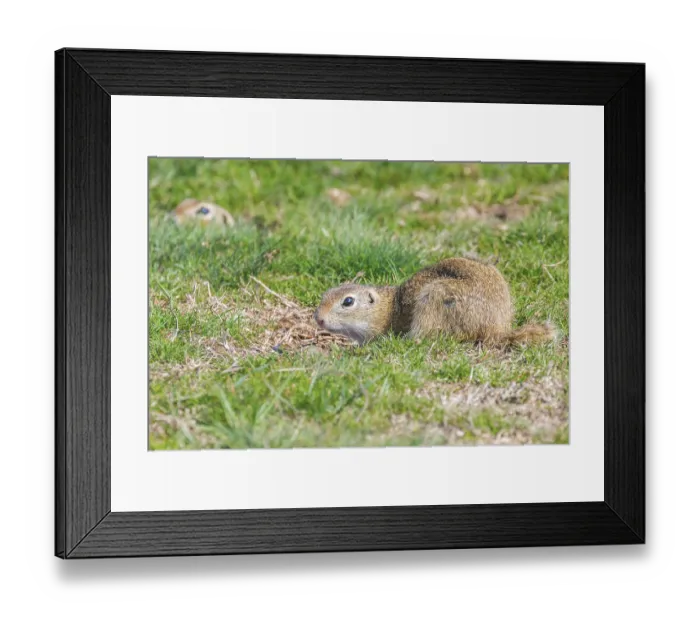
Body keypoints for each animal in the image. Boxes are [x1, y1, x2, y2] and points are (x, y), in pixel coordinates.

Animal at [313, 257, 557, 347]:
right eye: (326, 293)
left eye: (348, 302)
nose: (318, 318)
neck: (387, 308)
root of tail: (496, 328)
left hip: (434, 300)